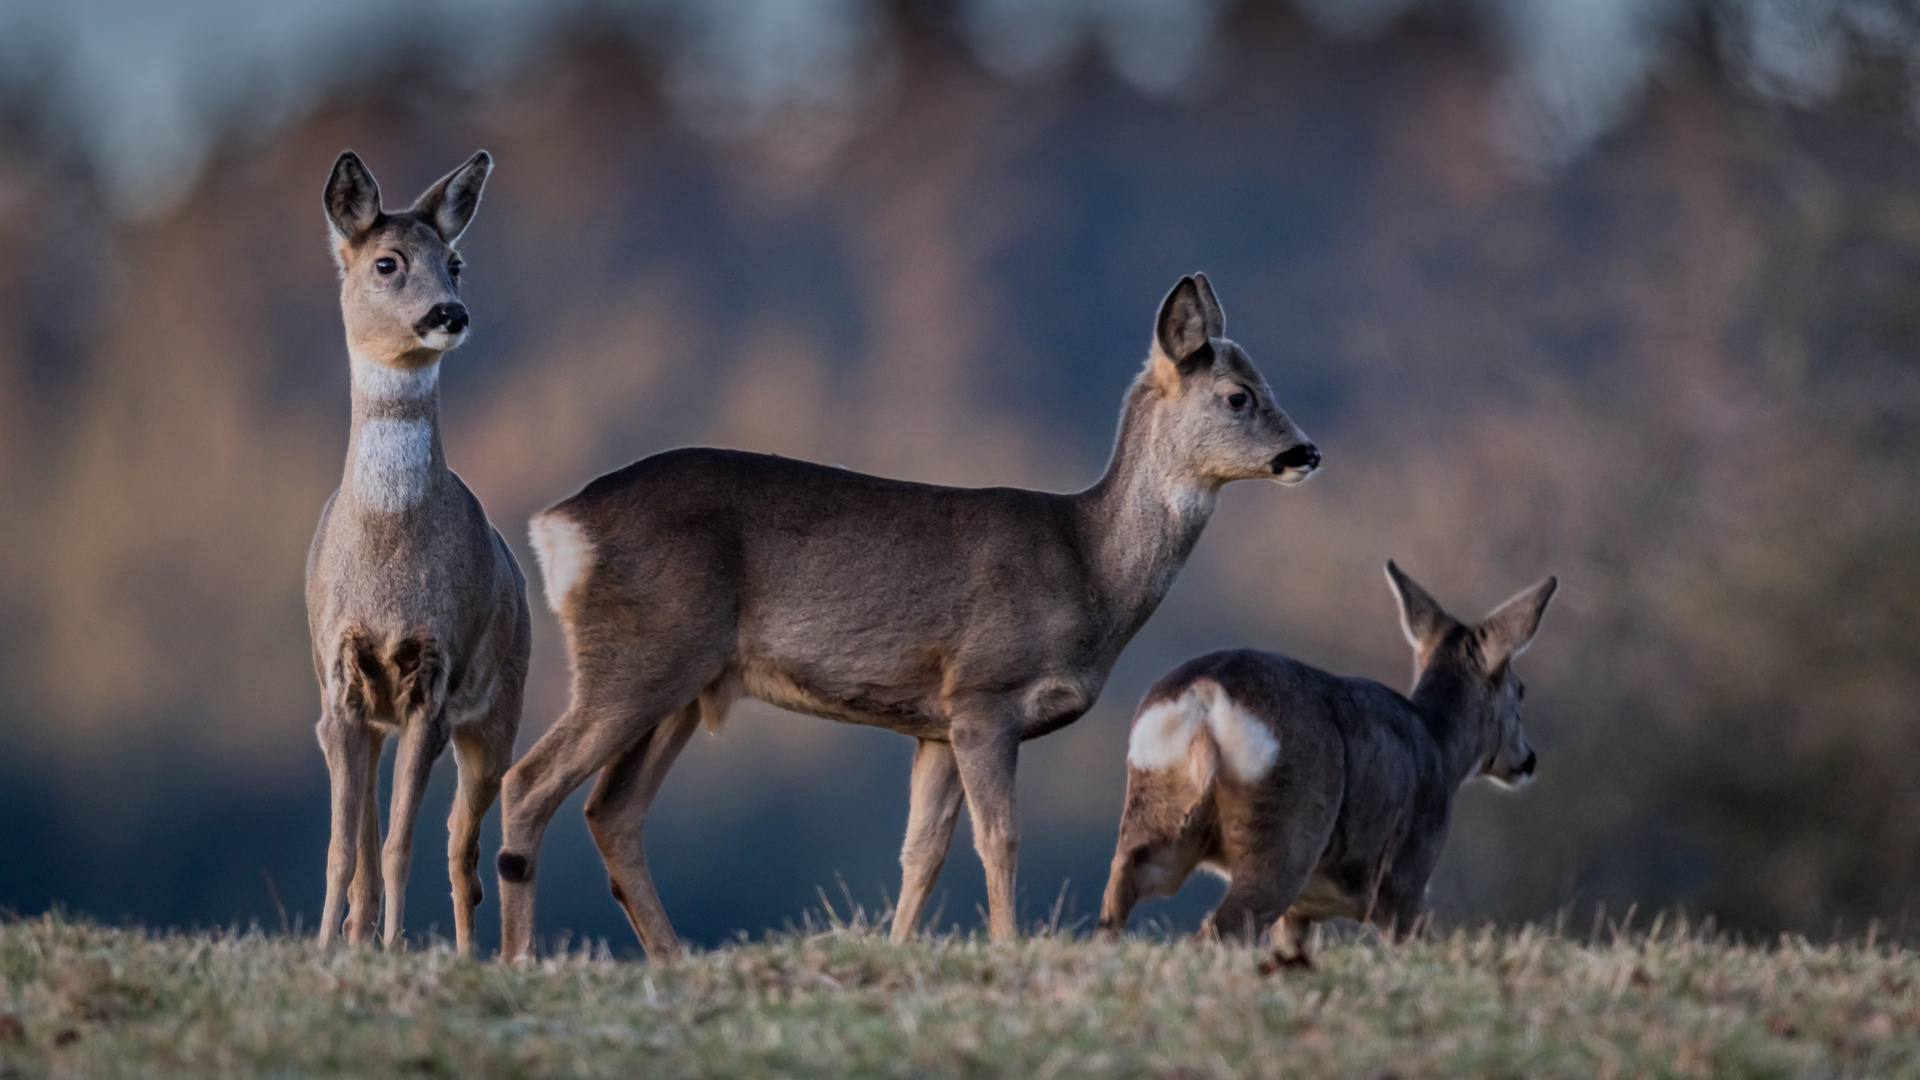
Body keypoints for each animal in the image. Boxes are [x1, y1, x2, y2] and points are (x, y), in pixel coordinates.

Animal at [309, 147, 533, 945]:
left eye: (456, 261)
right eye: (387, 262)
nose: (449, 313)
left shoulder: (434, 682)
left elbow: (402, 846)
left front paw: (398, 946)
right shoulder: (340, 684)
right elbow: (344, 848)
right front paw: (324, 949)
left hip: (500, 711)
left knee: (464, 853)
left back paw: (471, 954)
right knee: (373, 848)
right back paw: (357, 938)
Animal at [499, 270, 1320, 957]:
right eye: (1238, 396)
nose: (1305, 453)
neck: (1089, 569)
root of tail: (556, 525)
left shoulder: (933, 723)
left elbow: (921, 851)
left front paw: (898, 952)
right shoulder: (985, 693)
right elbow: (1000, 837)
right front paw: (1006, 949)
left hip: (684, 681)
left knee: (611, 812)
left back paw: (669, 960)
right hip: (639, 656)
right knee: (528, 781)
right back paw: (520, 957)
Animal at [1098, 557, 1559, 960]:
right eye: (1521, 691)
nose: (1529, 759)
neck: (1441, 748)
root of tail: (1207, 695)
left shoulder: (1302, 910)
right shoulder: (1407, 876)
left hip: (1157, 806)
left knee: (1119, 896)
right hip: (1287, 826)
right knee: (1219, 928)